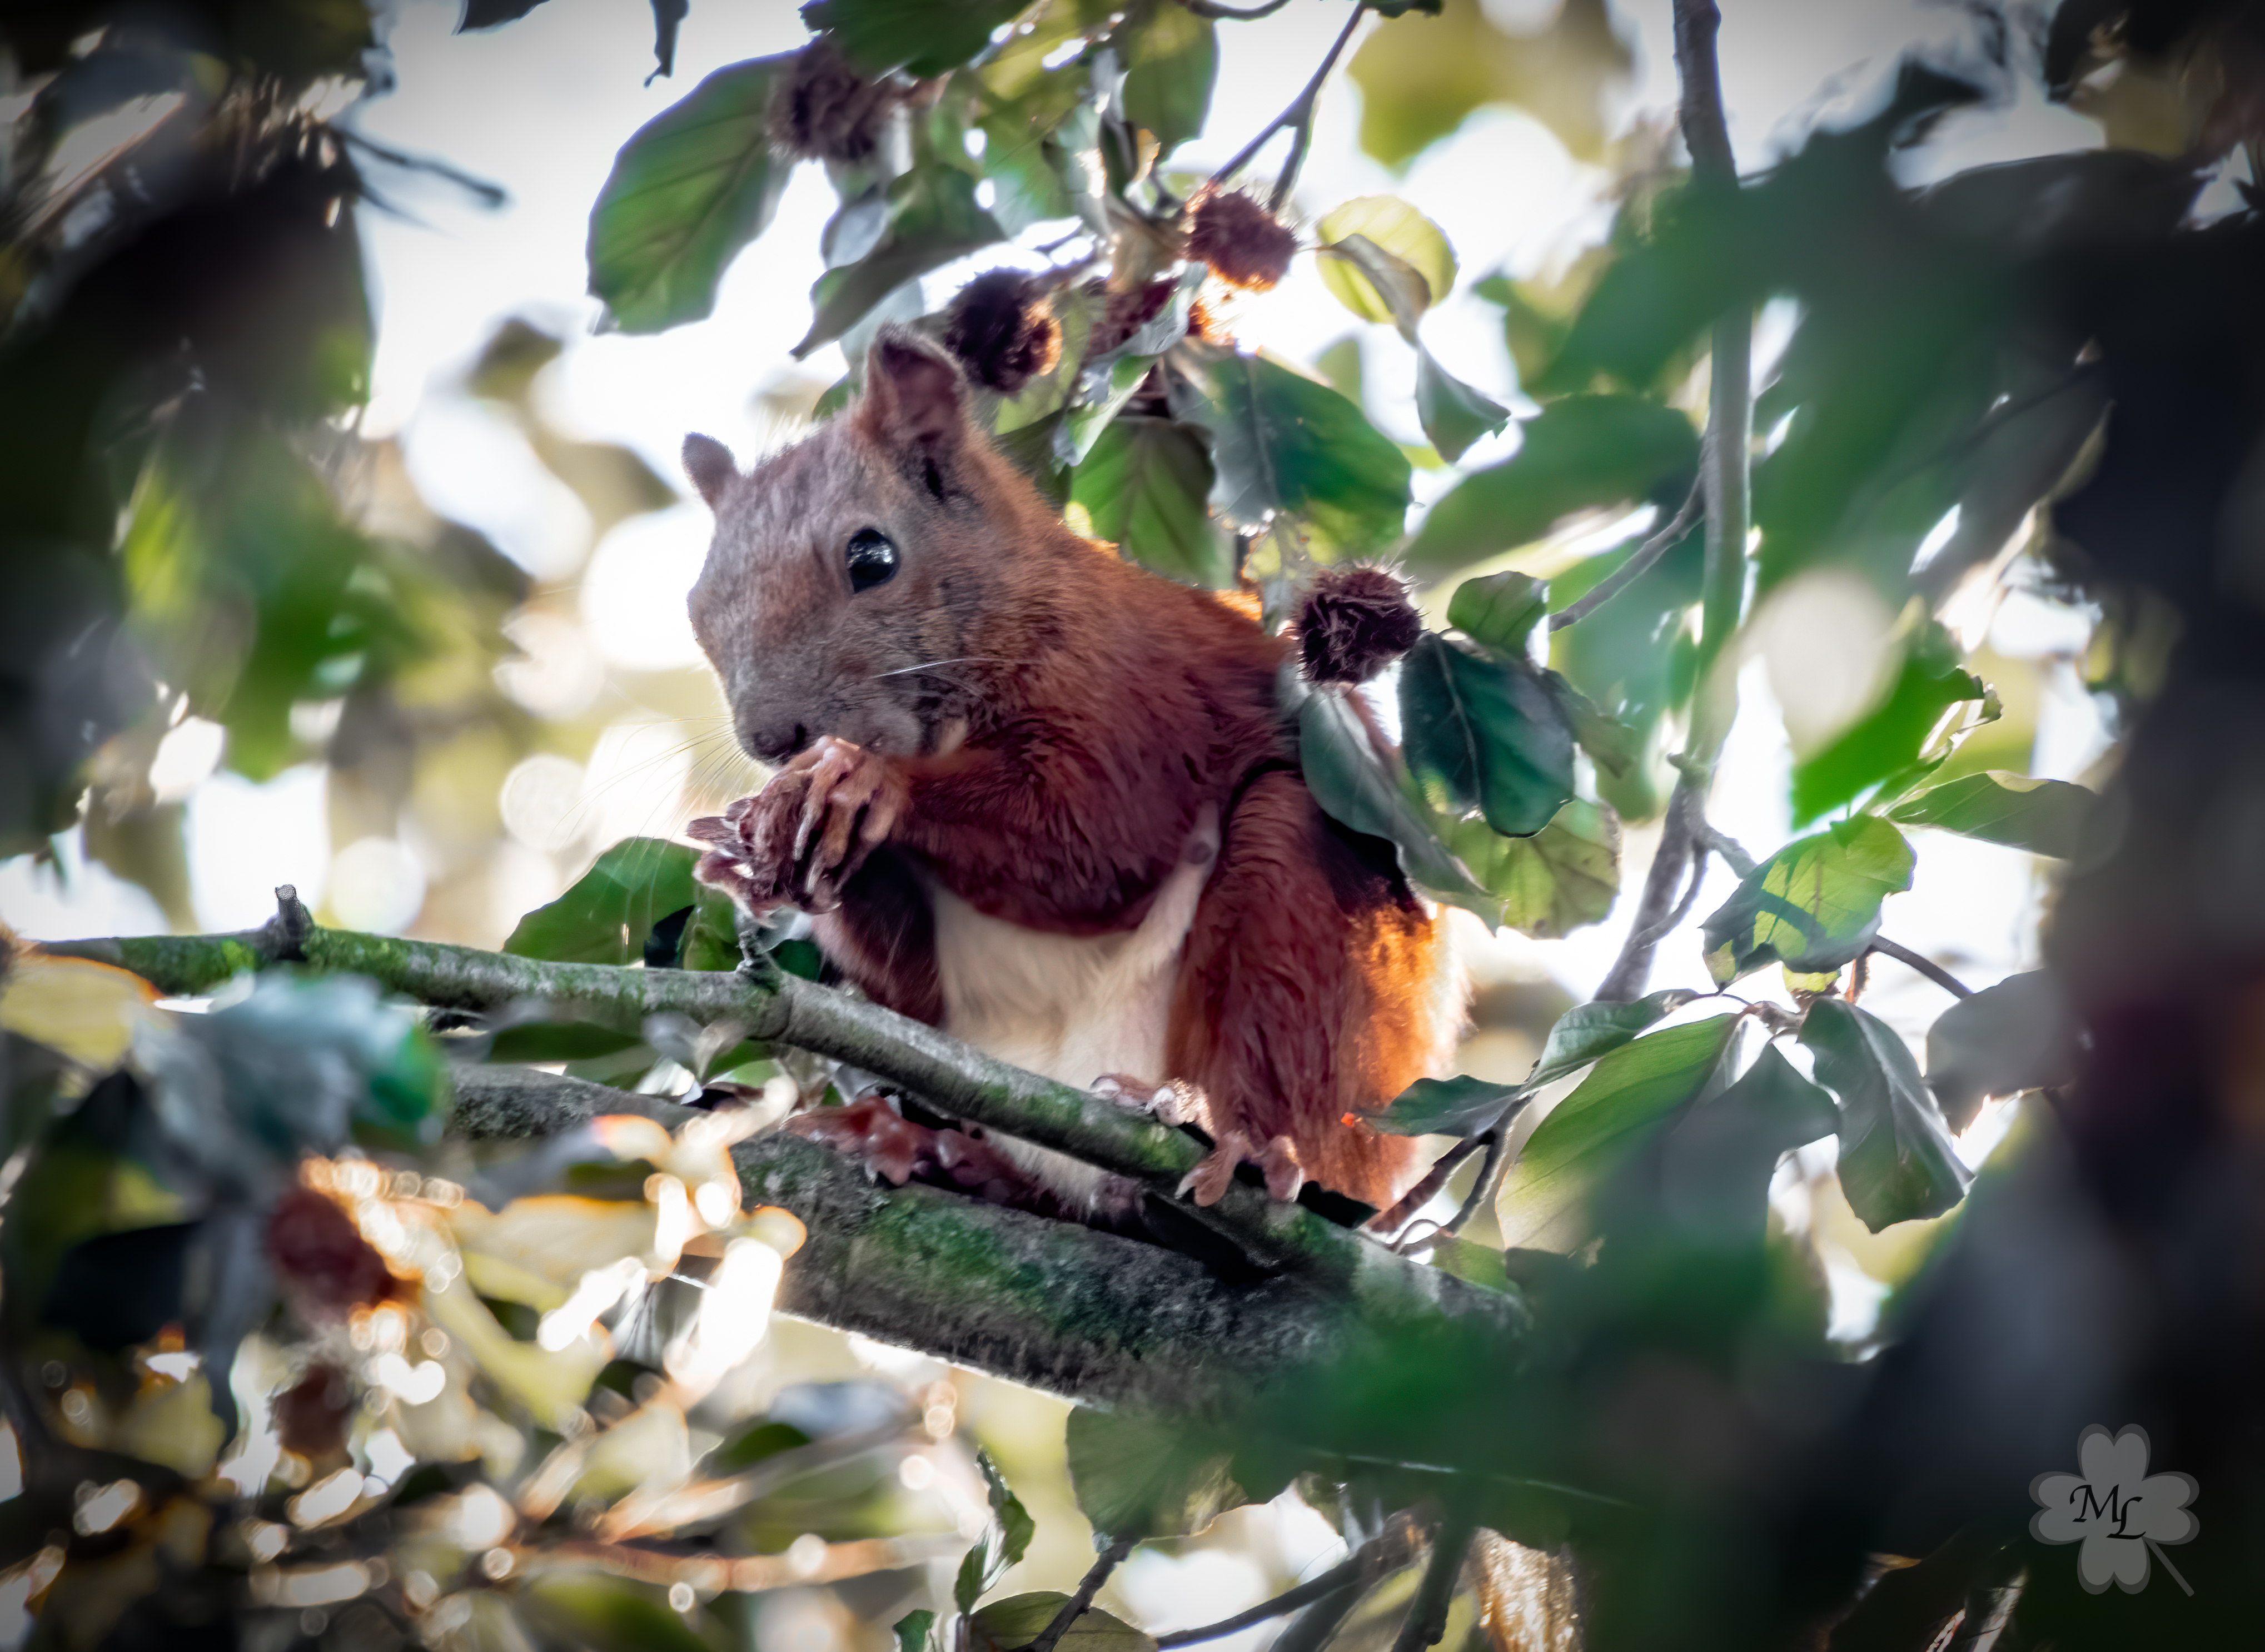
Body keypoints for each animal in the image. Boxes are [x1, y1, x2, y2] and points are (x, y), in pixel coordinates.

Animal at [679, 328, 1463, 1221]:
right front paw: (747, 851)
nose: (773, 738)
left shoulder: (1124, 690)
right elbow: (905, 979)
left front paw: (866, 782)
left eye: (871, 556)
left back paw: (1240, 1142)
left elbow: (1093, 841)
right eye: (697, 608)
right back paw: (923, 1145)